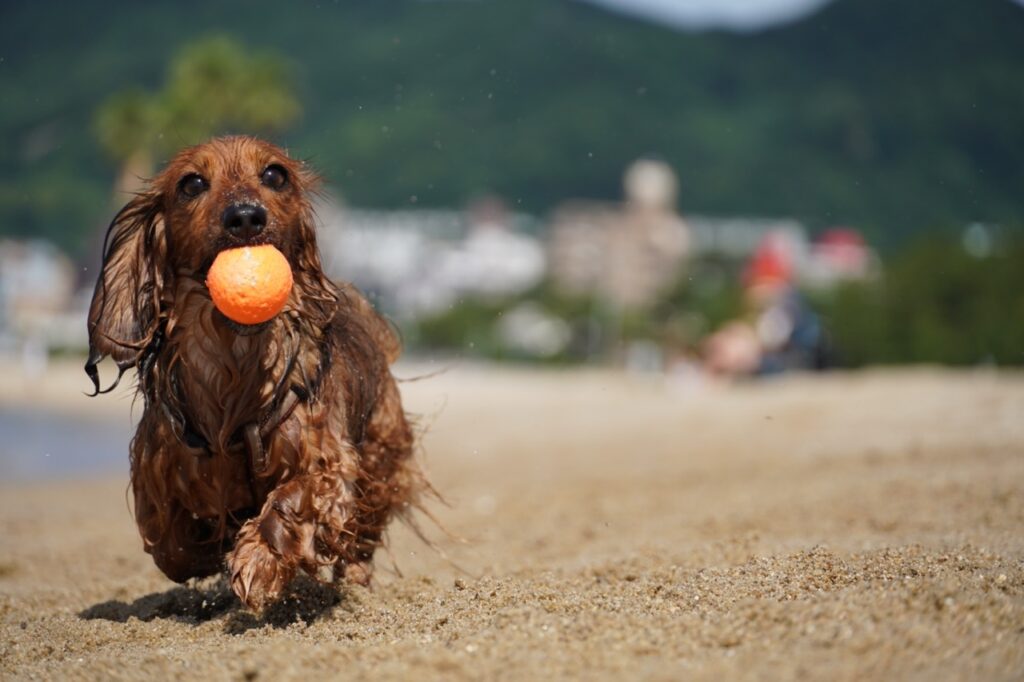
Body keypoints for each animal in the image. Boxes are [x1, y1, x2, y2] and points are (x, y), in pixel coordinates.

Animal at [86, 135, 421, 606]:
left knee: (363, 532)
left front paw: (261, 556)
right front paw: (211, 547)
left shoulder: (326, 459)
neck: (234, 357)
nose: (245, 216)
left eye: (275, 175)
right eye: (191, 183)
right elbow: (169, 544)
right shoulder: (157, 466)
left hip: (380, 456)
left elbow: (295, 497)